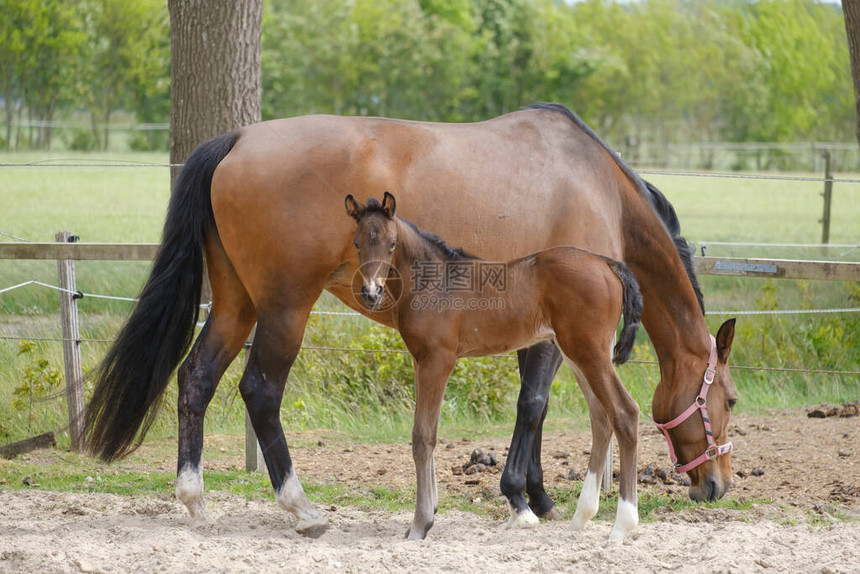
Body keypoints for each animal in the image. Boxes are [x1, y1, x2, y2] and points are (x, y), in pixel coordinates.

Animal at [84, 103, 736, 540]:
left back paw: (196, 500)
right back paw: (302, 510)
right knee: (260, 392)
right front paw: (525, 500)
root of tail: (238, 138)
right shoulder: (558, 337)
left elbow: (546, 408)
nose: (716, 485)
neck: (600, 189)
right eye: (727, 398)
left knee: (196, 378)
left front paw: (541, 498)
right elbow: (535, 405)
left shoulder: (548, 332)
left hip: (236, 304)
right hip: (284, 309)